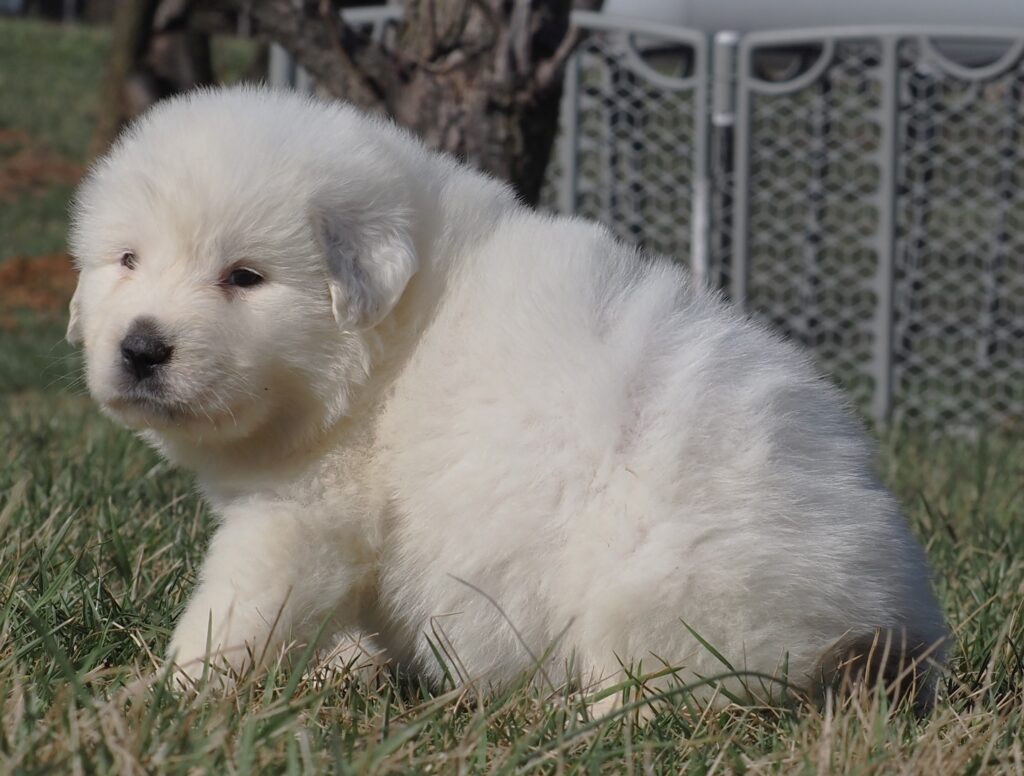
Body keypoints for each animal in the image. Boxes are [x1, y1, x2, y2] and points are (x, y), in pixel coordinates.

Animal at [68, 88, 946, 708]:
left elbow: (238, 612)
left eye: (245, 277)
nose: (141, 348)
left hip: (663, 588)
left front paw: (161, 697)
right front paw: (338, 674)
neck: (383, 352)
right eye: (127, 260)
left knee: (672, 691)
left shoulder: (302, 517)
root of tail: (889, 620)